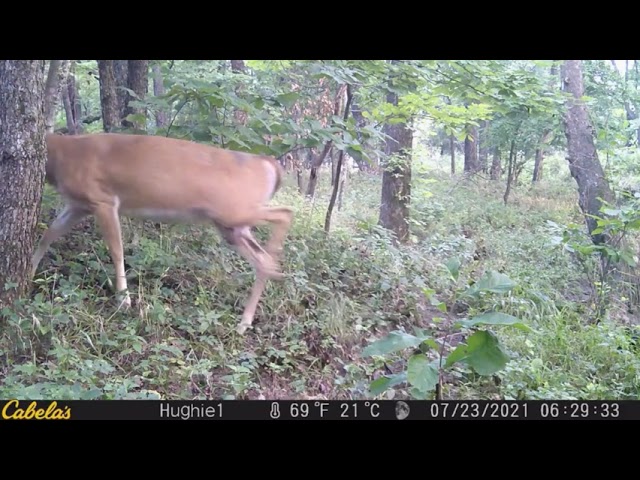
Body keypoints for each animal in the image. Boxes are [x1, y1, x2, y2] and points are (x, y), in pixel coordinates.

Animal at [31, 132, 294, 335]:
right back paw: (248, 316)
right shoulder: (78, 205)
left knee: (285, 213)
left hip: (234, 211)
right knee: (260, 256)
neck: (61, 155)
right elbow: (48, 234)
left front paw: (124, 299)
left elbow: (116, 249)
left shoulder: (103, 200)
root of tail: (269, 164)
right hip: (230, 226)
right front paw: (30, 271)